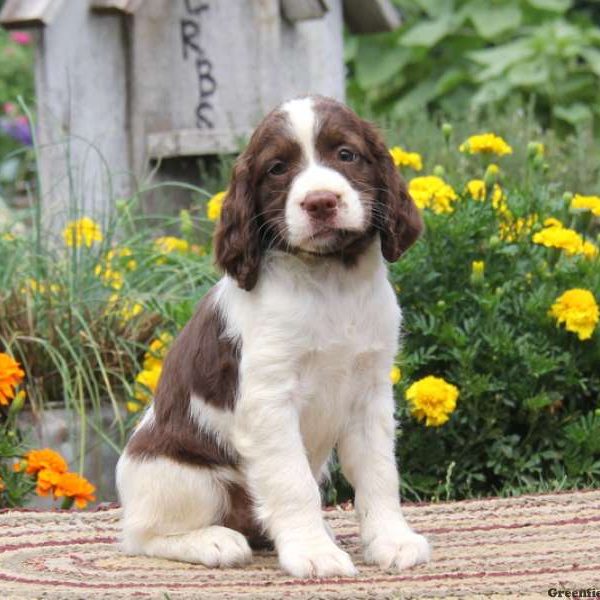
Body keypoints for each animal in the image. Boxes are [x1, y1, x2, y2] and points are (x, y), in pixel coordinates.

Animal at [115, 96, 428, 580]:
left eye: (346, 154)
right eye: (278, 168)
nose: (320, 202)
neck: (330, 283)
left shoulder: (370, 393)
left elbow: (379, 472)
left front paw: (391, 541)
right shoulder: (269, 402)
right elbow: (292, 482)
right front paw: (314, 554)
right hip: (183, 475)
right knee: (143, 535)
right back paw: (215, 541)